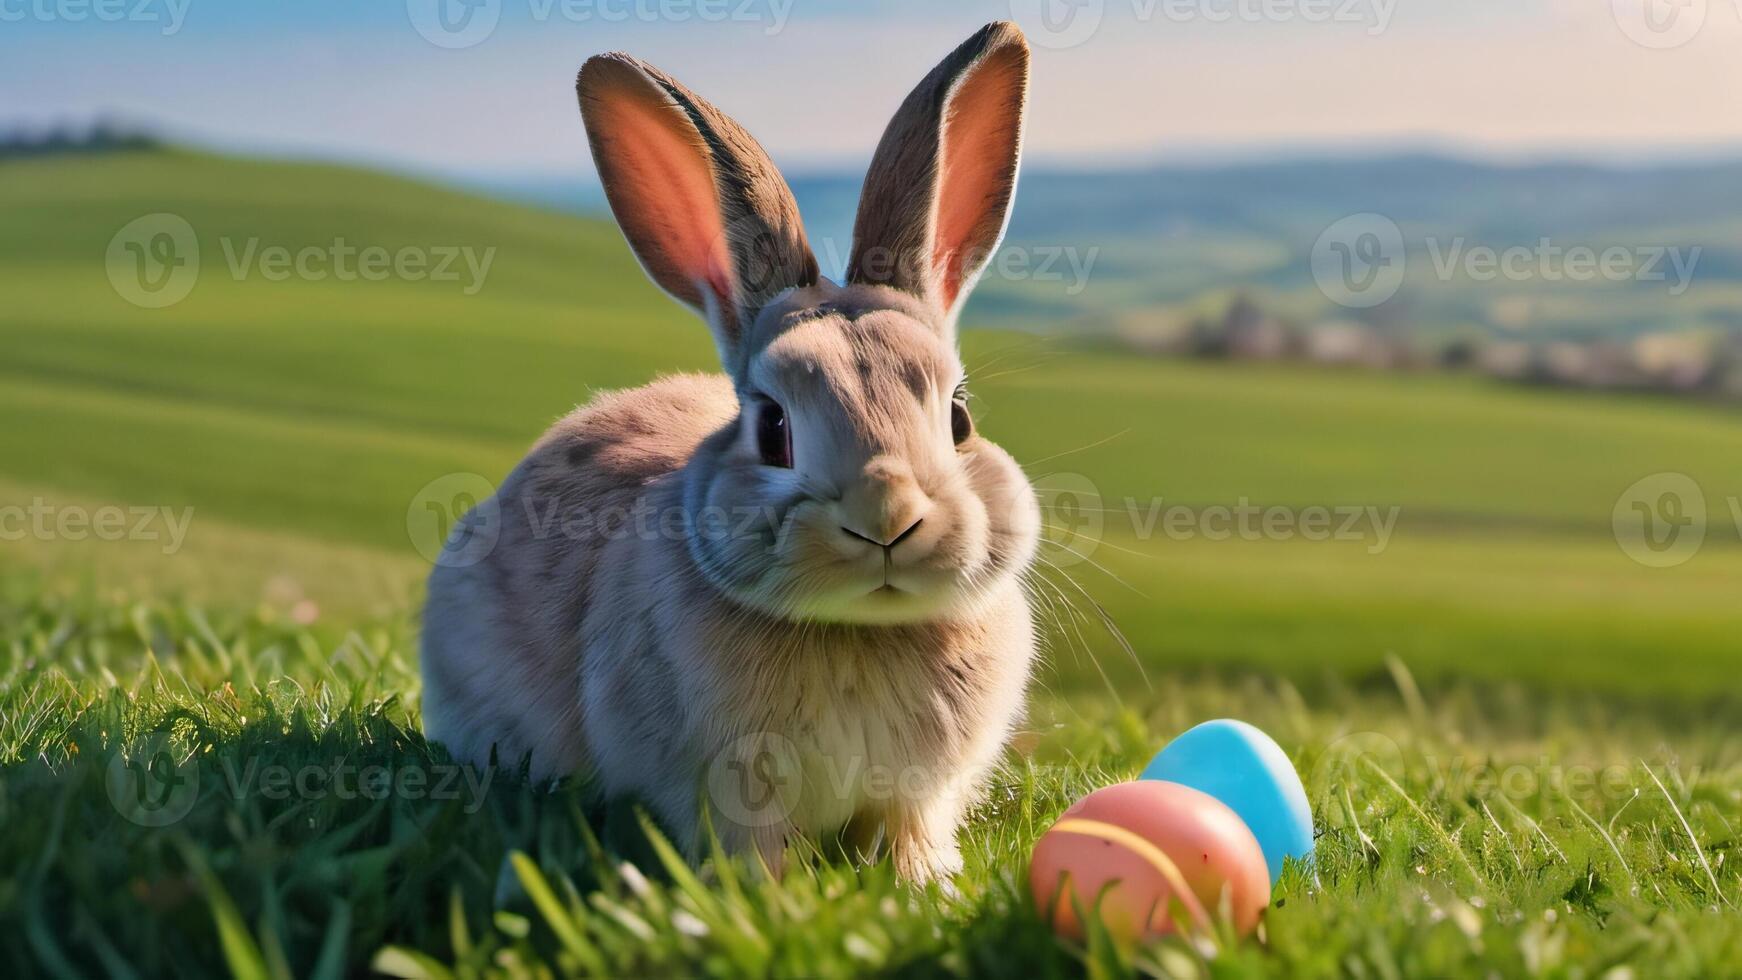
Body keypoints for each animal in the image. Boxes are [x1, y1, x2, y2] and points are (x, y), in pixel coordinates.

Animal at [423, 21, 1038, 880]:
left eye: (958, 418)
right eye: (772, 426)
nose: (886, 518)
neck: (859, 628)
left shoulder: (920, 795)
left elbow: (909, 830)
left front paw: (922, 884)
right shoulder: (725, 786)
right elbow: (750, 844)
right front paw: (767, 892)